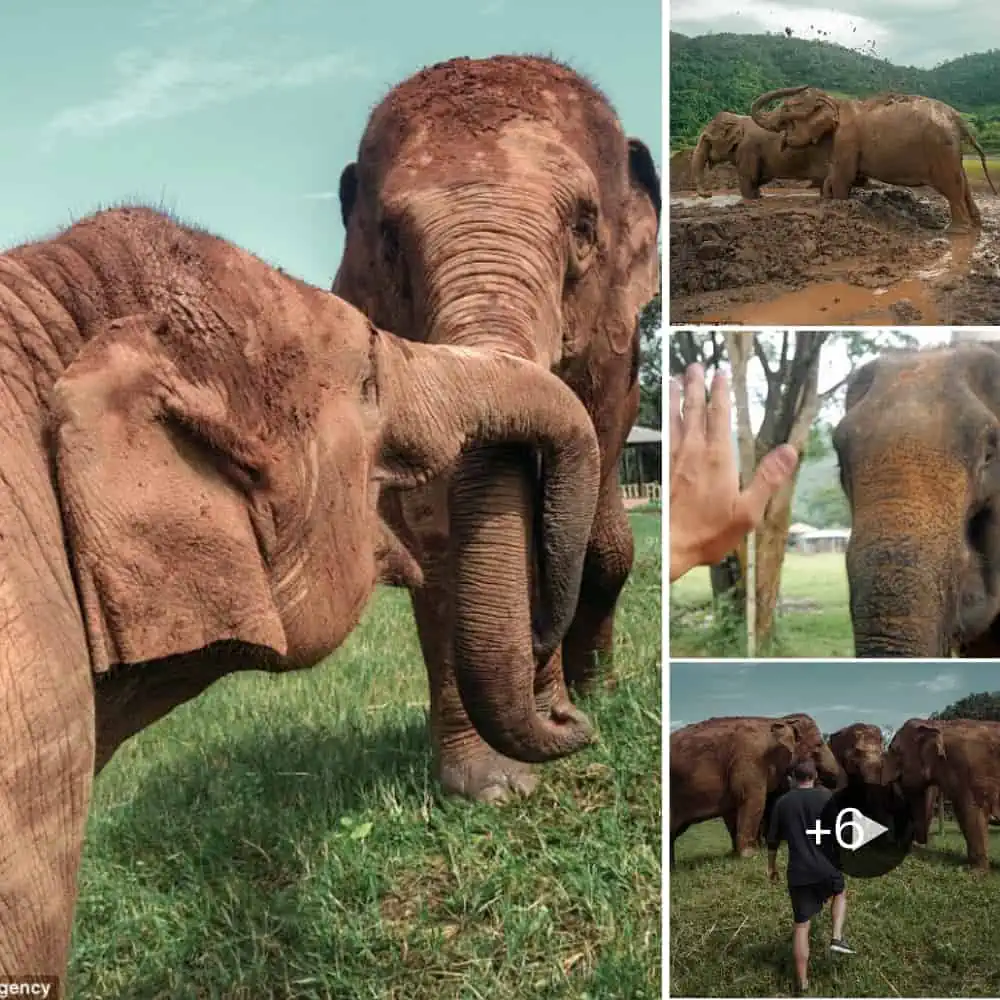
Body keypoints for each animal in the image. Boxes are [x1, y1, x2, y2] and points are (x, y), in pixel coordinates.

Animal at [331, 55, 660, 803]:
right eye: (390, 240)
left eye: (584, 227)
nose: (569, 721)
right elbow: (429, 530)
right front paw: (490, 785)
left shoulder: (610, 356)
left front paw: (555, 717)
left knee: (608, 546)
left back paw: (600, 690)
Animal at [670, 713, 840, 864]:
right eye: (819, 744)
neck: (779, 720)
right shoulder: (749, 760)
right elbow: (753, 800)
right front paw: (750, 855)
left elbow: (734, 809)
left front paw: (736, 854)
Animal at [749, 86, 998, 233]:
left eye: (786, 110)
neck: (835, 103)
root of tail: (957, 119)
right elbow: (834, 177)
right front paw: (828, 200)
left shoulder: (847, 139)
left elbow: (842, 177)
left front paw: (840, 205)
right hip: (952, 151)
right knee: (964, 186)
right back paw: (976, 226)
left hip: (940, 149)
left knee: (952, 190)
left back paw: (955, 231)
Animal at [881, 718, 1000, 870]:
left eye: (894, 750)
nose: (905, 847)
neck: (938, 724)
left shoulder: (968, 770)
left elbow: (970, 813)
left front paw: (975, 870)